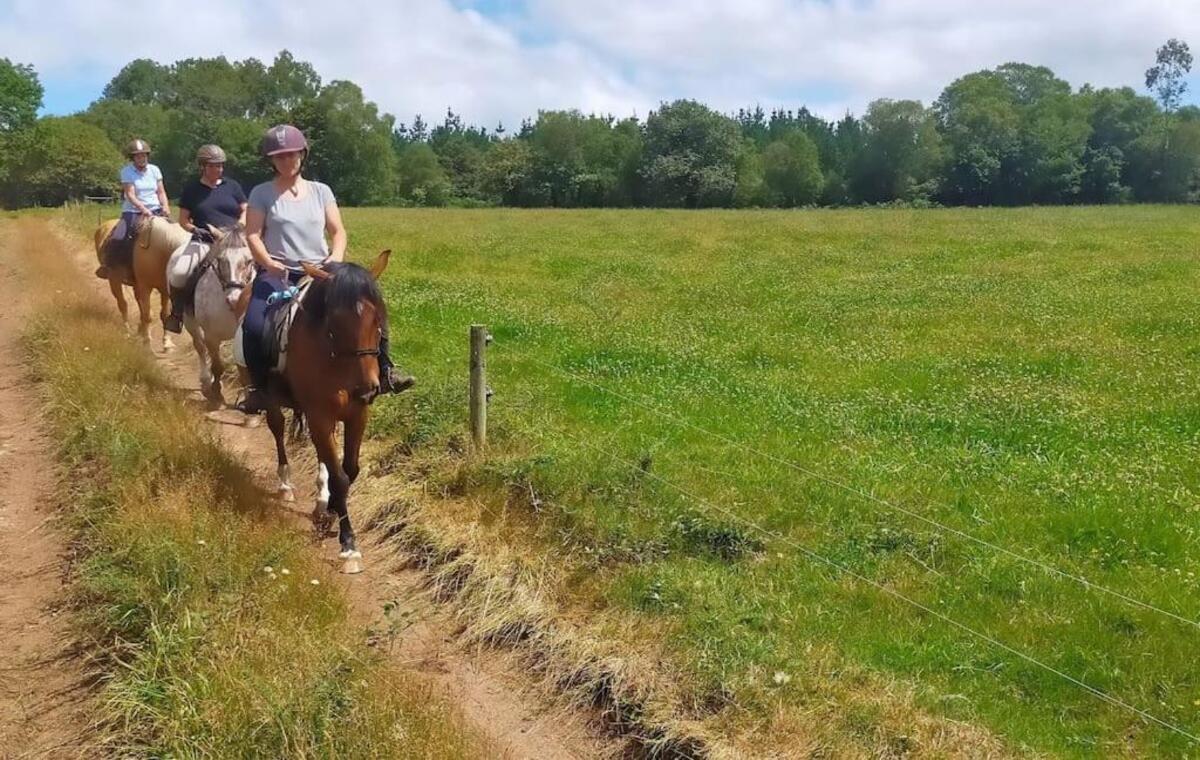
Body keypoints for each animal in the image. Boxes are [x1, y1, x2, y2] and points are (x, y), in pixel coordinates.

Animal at [94, 216, 192, 351]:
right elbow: (148, 315)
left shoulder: (164, 290)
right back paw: (127, 331)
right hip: (114, 280)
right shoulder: (145, 287)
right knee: (123, 304)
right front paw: (147, 343)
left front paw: (166, 342)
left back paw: (140, 330)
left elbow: (164, 315)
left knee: (137, 303)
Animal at [180, 225, 256, 404]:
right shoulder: (211, 336)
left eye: (249, 261)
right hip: (190, 323)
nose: (234, 299)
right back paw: (206, 381)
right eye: (221, 260)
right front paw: (216, 392)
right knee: (200, 347)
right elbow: (217, 365)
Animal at [263, 251, 392, 574]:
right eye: (334, 323)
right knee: (277, 428)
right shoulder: (319, 415)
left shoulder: (357, 414)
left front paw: (330, 510)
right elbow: (340, 477)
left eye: (378, 319)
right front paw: (349, 546)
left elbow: (350, 470)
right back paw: (285, 483)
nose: (366, 388)